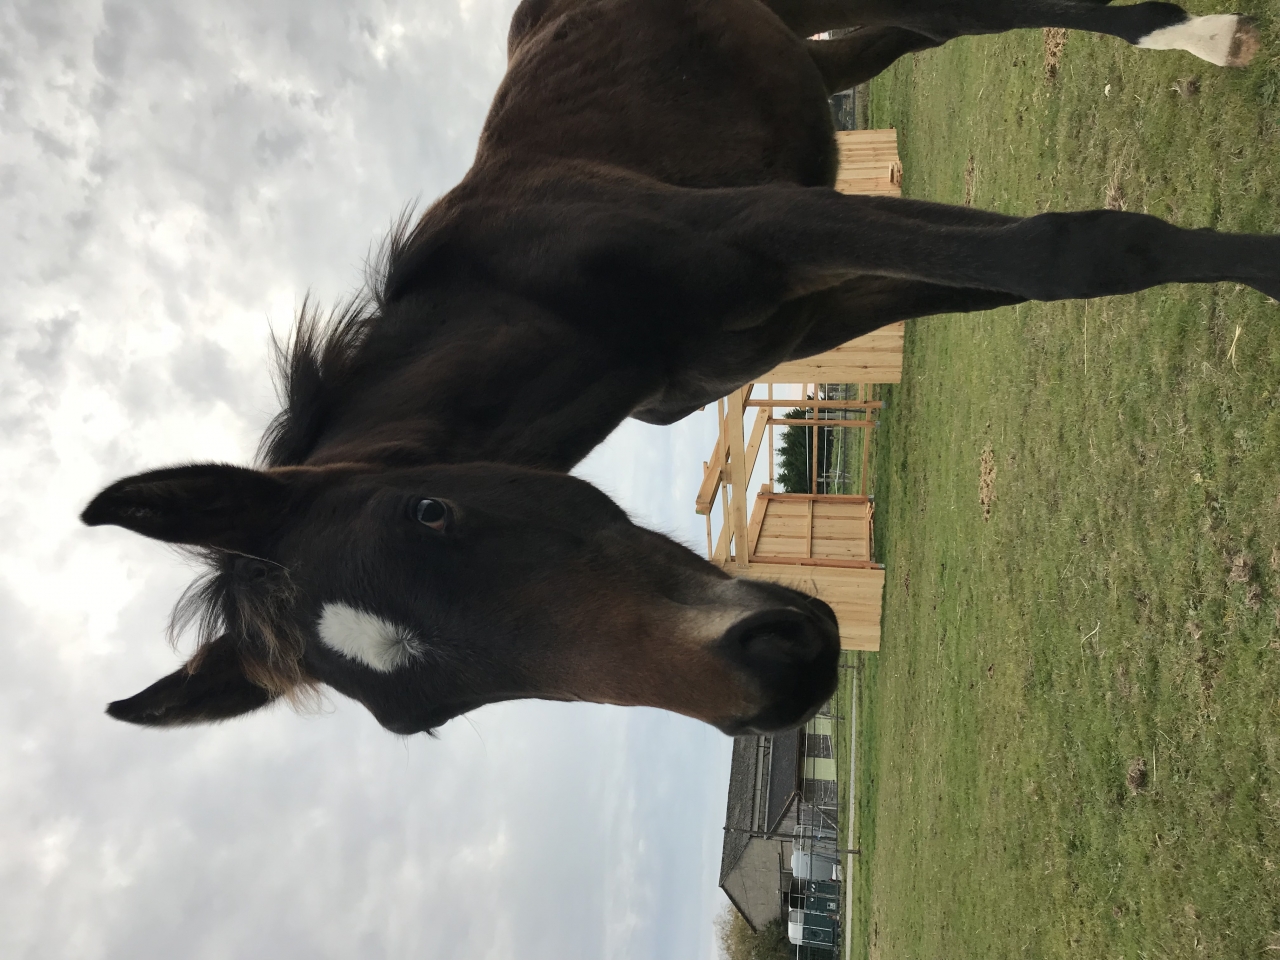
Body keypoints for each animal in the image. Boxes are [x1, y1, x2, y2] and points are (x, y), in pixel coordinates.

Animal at [82, 0, 1278, 738]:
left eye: (431, 512)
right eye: (428, 716)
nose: (779, 679)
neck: (539, 297)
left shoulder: (775, 226)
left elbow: (1078, 252)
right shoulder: (814, 303)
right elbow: (1030, 279)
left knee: (956, 14)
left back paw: (1204, 33)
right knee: (895, 38)